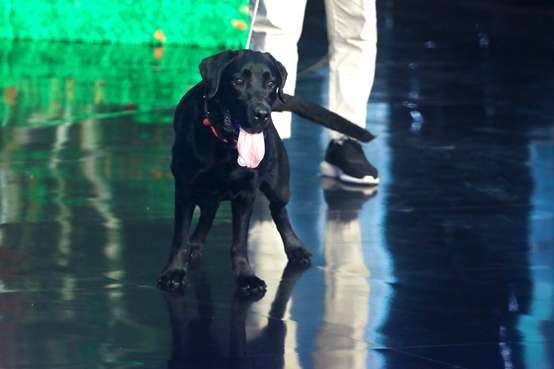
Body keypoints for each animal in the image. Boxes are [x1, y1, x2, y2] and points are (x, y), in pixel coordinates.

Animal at [156, 49, 370, 296]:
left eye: (270, 83)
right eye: (238, 81)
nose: (261, 114)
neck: (224, 144)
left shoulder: (246, 195)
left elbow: (240, 243)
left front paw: (246, 277)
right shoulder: (185, 189)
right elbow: (179, 237)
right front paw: (173, 272)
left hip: (279, 185)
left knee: (279, 212)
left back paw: (295, 247)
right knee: (208, 214)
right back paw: (195, 244)